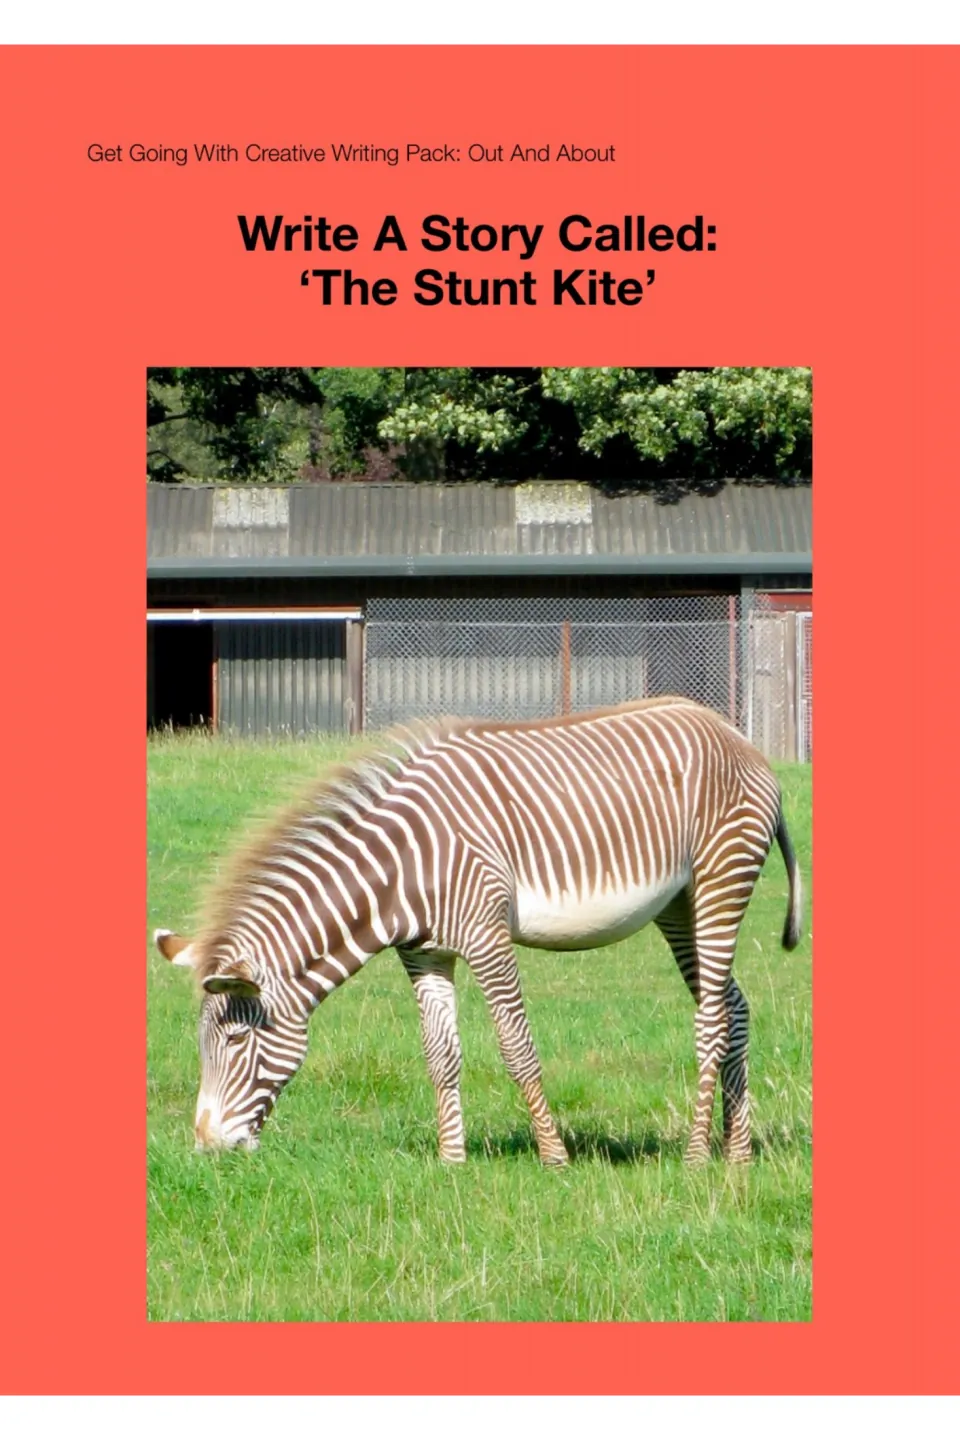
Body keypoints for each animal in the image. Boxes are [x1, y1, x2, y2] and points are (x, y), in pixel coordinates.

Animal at [156, 696, 803, 1166]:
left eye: (236, 1041)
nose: (207, 1147)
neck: (398, 871)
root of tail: (738, 737)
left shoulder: (487, 936)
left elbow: (517, 1046)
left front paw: (553, 1157)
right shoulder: (424, 954)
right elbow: (440, 1054)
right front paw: (452, 1160)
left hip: (721, 879)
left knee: (711, 1017)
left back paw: (695, 1157)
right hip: (679, 904)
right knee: (733, 1005)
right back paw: (737, 1153)